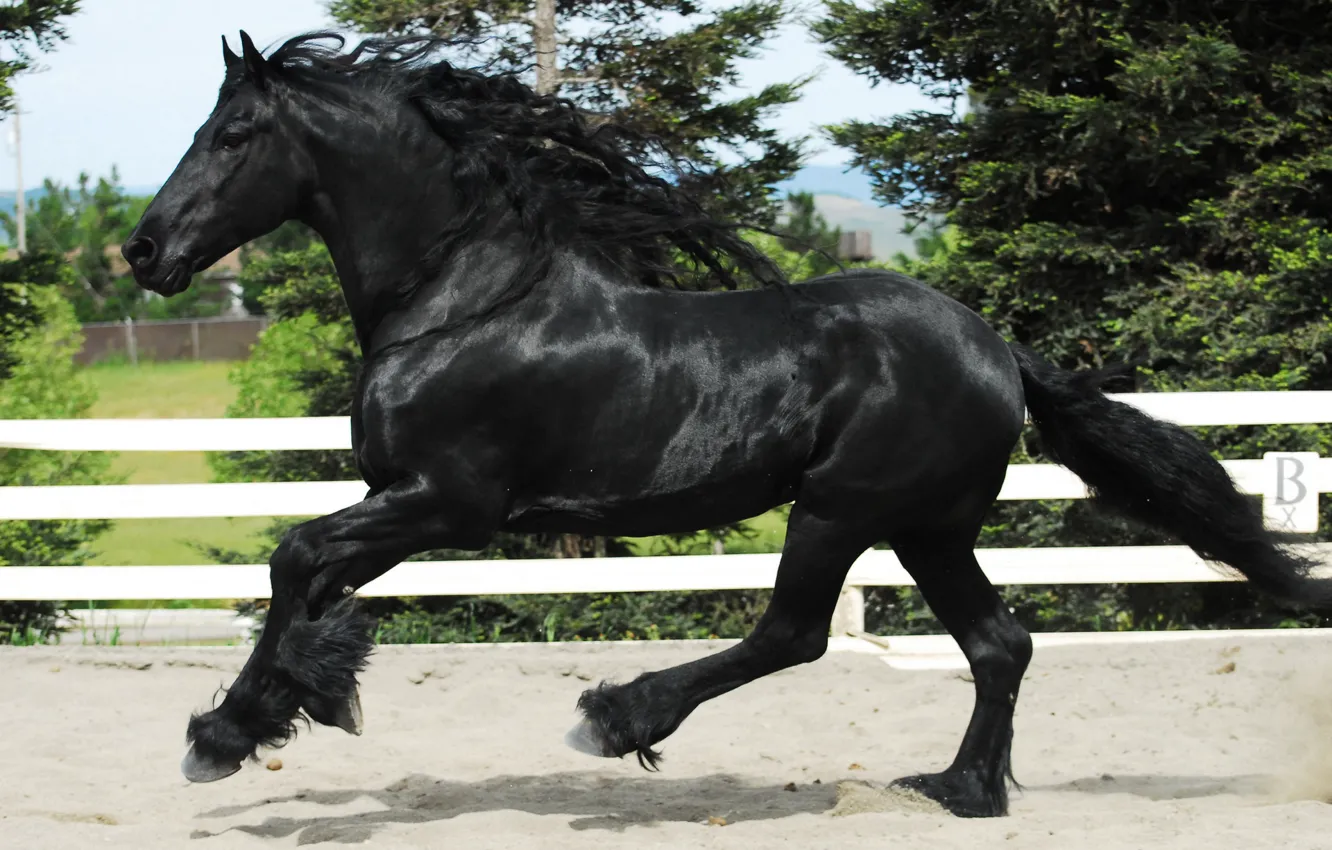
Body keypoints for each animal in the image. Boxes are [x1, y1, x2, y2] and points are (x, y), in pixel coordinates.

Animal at [122, 31, 1329, 818]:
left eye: (233, 133)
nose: (142, 250)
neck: (461, 298)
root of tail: (996, 349)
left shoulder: (448, 503)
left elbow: (293, 558)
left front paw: (230, 734)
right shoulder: (401, 501)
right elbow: (309, 582)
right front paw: (290, 705)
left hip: (840, 508)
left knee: (795, 633)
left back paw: (619, 717)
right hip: (927, 527)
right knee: (999, 643)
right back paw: (961, 790)